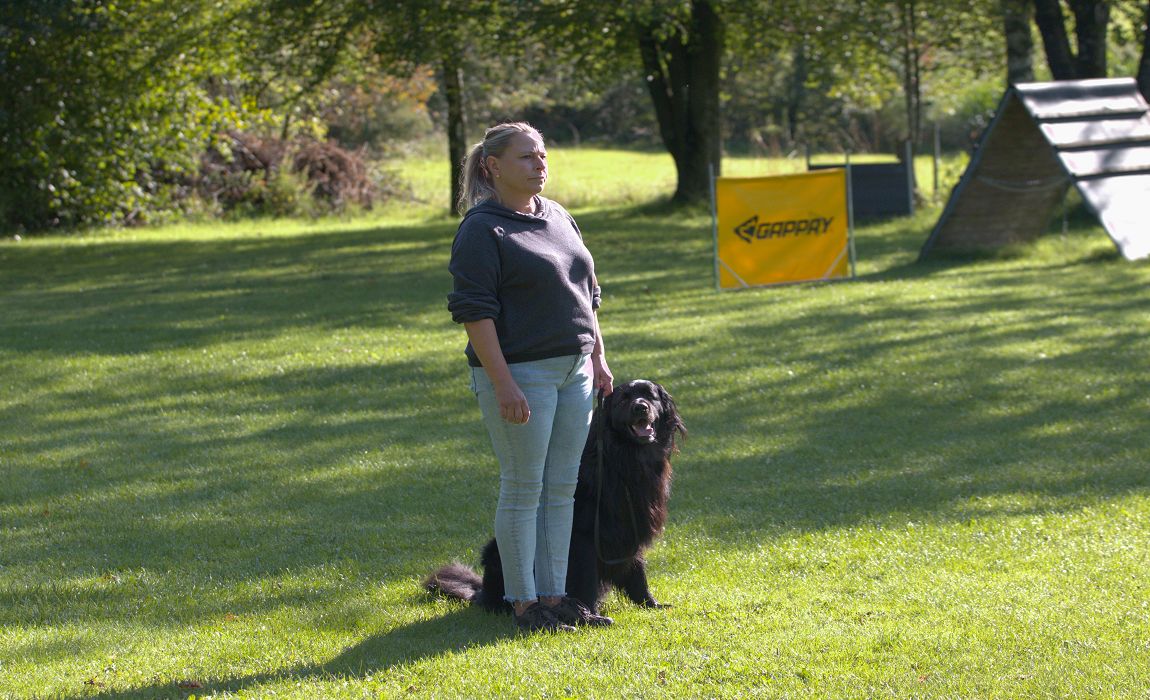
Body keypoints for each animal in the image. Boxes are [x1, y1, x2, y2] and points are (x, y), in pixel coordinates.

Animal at [430, 379, 680, 616]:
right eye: (623, 399)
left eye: (650, 395)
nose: (640, 407)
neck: (621, 459)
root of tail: (481, 592)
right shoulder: (584, 537)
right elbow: (587, 579)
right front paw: (590, 612)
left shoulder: (631, 529)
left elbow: (637, 572)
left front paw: (650, 604)